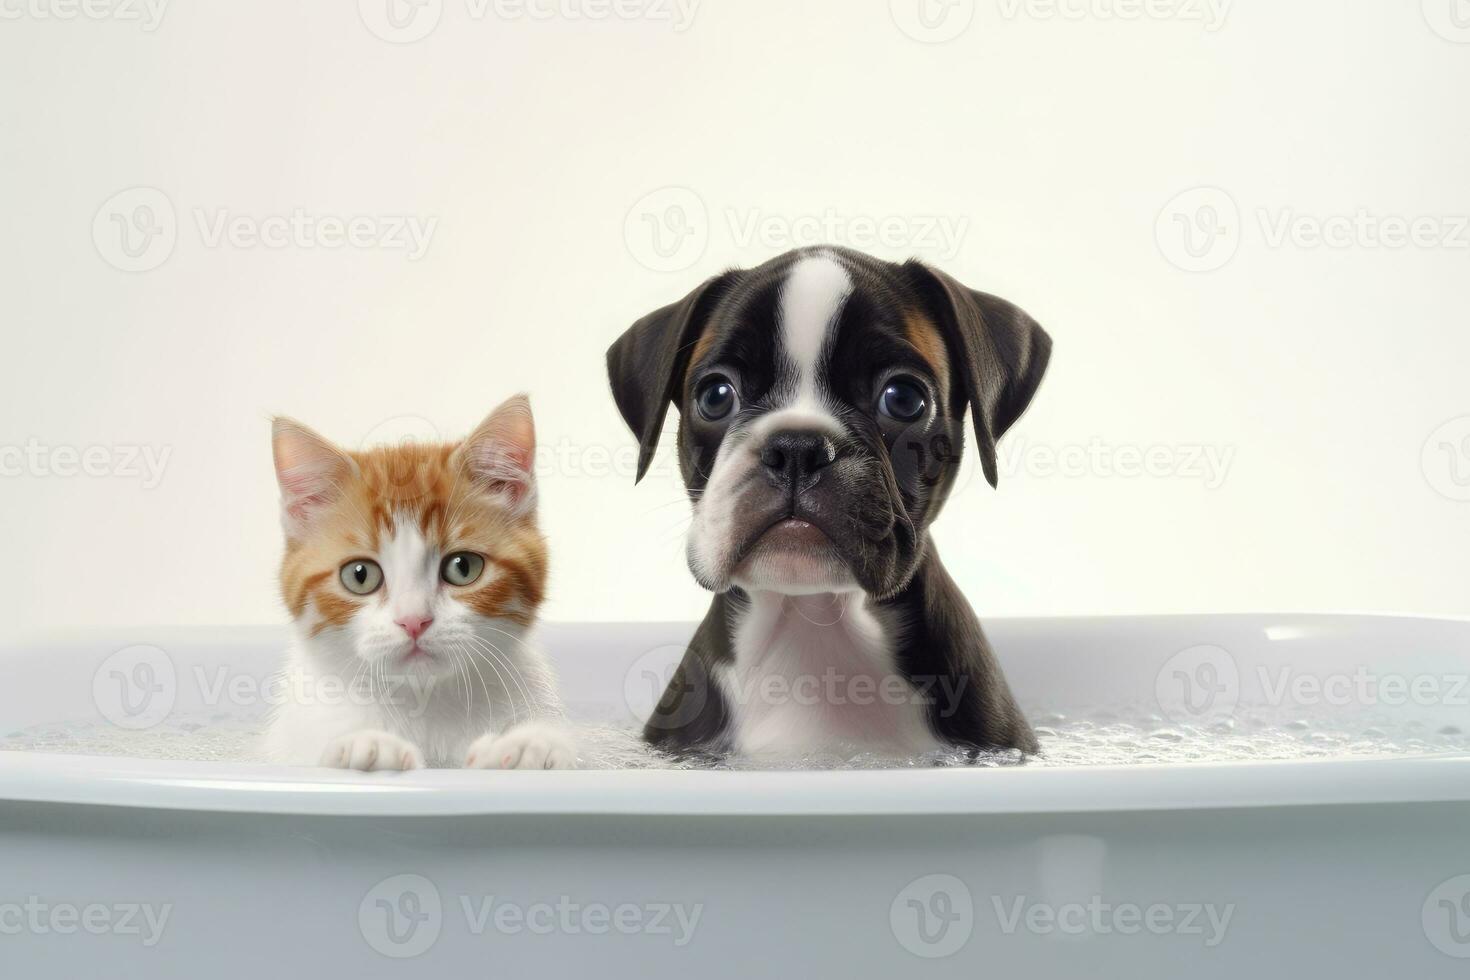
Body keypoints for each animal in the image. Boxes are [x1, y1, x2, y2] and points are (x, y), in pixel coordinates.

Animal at [264, 393, 573, 769]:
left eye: (463, 567)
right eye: (359, 575)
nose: (413, 621)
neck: (424, 702)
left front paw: (529, 746)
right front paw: (368, 746)